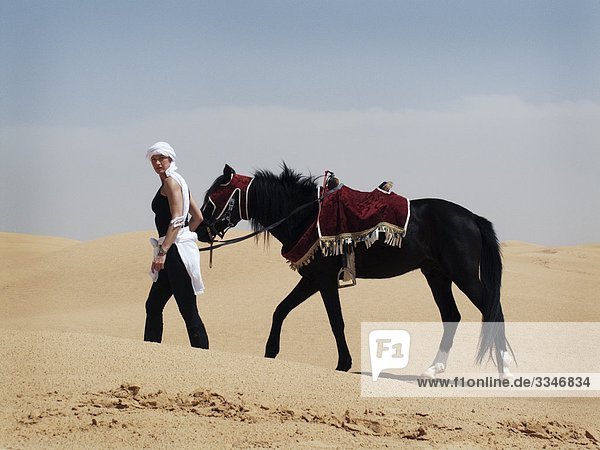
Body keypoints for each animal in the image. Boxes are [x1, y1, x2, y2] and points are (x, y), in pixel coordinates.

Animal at [198, 163, 516, 378]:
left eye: (214, 196)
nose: (200, 230)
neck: (305, 215)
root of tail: (472, 217)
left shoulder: (324, 280)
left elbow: (335, 321)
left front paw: (343, 364)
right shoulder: (312, 279)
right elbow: (281, 310)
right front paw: (270, 352)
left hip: (463, 275)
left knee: (493, 310)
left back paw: (505, 370)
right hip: (437, 275)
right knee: (452, 316)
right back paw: (433, 368)